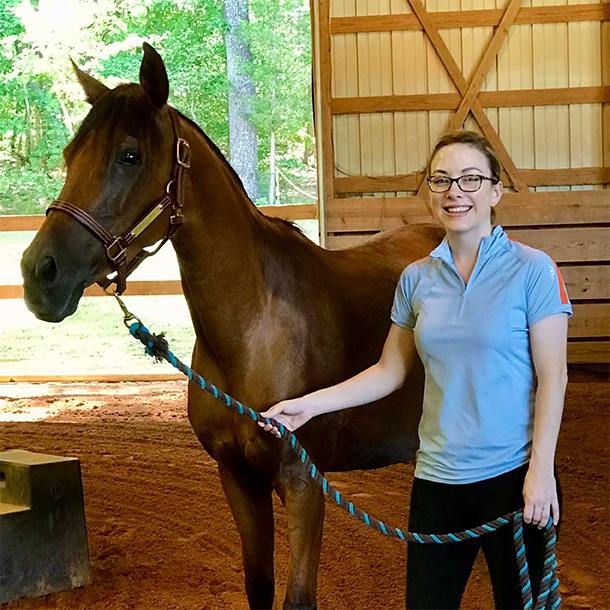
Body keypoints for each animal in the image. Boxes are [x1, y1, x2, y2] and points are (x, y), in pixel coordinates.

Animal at [20, 44, 442, 608]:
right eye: (69, 155)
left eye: (129, 156)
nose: (39, 273)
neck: (253, 330)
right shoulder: (237, 479)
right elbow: (258, 585)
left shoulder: (304, 484)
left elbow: (297, 597)